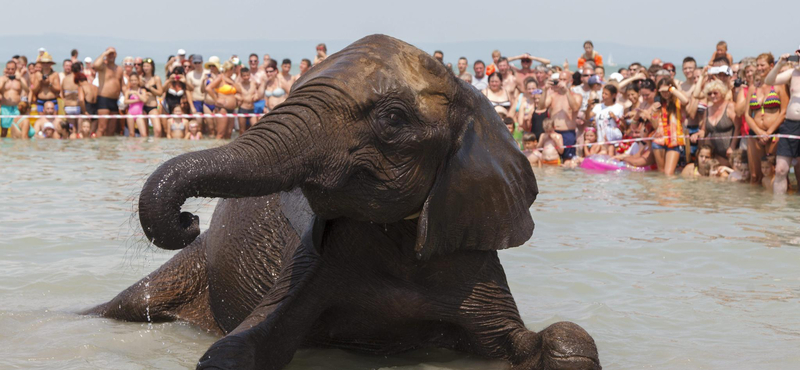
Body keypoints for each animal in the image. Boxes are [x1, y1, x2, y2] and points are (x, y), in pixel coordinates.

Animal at [87, 34, 600, 370]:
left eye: (392, 119)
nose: (189, 218)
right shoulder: (313, 259)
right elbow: (239, 348)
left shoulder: (466, 246)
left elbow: (562, 341)